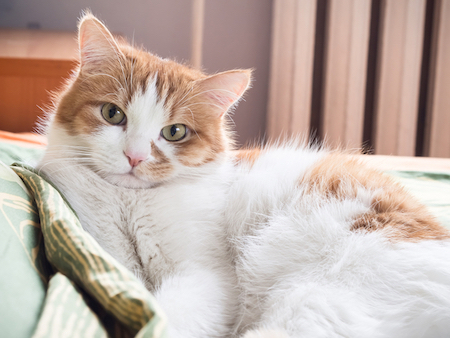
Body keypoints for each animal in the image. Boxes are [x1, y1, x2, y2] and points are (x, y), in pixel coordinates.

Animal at [37, 11, 450, 336]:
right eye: (113, 114)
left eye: (175, 132)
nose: (135, 157)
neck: (130, 203)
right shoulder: (108, 255)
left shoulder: (207, 276)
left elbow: (166, 316)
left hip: (320, 295)